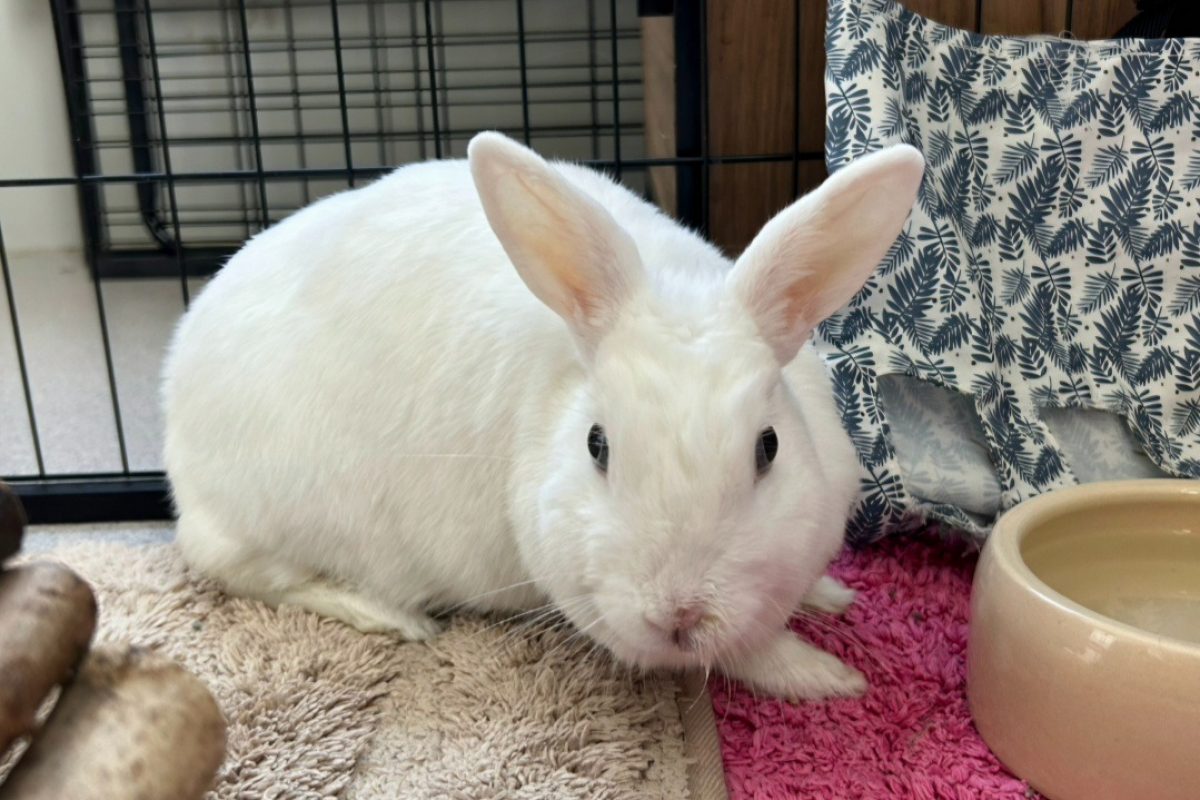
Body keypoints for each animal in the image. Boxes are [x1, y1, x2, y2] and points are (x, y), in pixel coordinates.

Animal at [162, 131, 924, 700]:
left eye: (769, 447)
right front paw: (829, 677)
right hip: (283, 516)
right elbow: (744, 653)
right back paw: (390, 617)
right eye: (596, 445)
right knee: (242, 570)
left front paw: (830, 597)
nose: (677, 613)